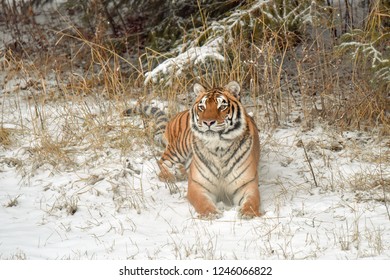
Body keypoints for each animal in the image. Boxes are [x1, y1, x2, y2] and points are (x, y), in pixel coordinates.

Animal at [123, 81, 260, 219]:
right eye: (202, 107)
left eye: (222, 106)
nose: (208, 122)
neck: (218, 147)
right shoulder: (197, 185)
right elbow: (202, 202)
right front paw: (211, 214)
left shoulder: (248, 184)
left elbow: (252, 202)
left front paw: (248, 213)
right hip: (179, 148)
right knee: (162, 162)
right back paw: (171, 175)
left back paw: (180, 171)